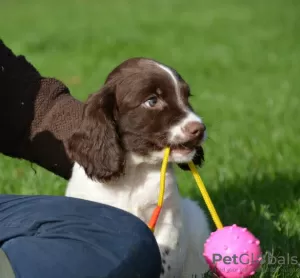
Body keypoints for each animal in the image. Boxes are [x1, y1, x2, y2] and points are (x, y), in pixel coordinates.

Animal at [65, 57, 211, 276]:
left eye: (186, 96)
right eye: (152, 101)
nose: (199, 129)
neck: (136, 173)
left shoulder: (169, 220)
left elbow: (162, 256)